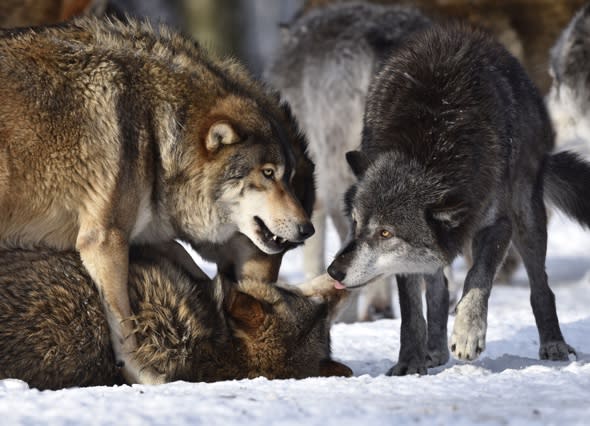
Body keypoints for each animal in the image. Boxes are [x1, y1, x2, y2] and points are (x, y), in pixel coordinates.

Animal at [0, 18, 316, 386]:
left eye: (287, 177)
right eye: (268, 173)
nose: (307, 230)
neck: (154, 128)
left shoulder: (140, 231)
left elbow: (183, 258)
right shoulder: (104, 240)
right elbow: (124, 325)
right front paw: (147, 375)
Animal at [328, 23, 588, 374]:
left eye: (385, 233)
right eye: (355, 224)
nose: (333, 272)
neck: (430, 146)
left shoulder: (498, 225)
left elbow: (477, 277)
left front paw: (467, 333)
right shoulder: (406, 260)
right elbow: (412, 312)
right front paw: (410, 362)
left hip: (527, 216)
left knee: (541, 287)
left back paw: (553, 343)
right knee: (439, 290)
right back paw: (434, 351)